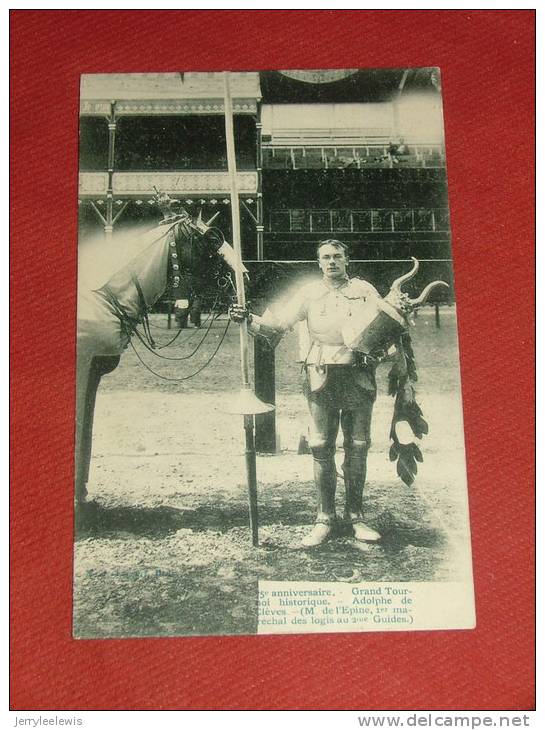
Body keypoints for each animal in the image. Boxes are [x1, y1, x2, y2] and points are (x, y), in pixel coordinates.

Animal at [75, 199, 239, 506]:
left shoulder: (93, 373)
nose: (242, 278)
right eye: (213, 239)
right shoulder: (83, 368)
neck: (103, 298)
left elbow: (86, 436)